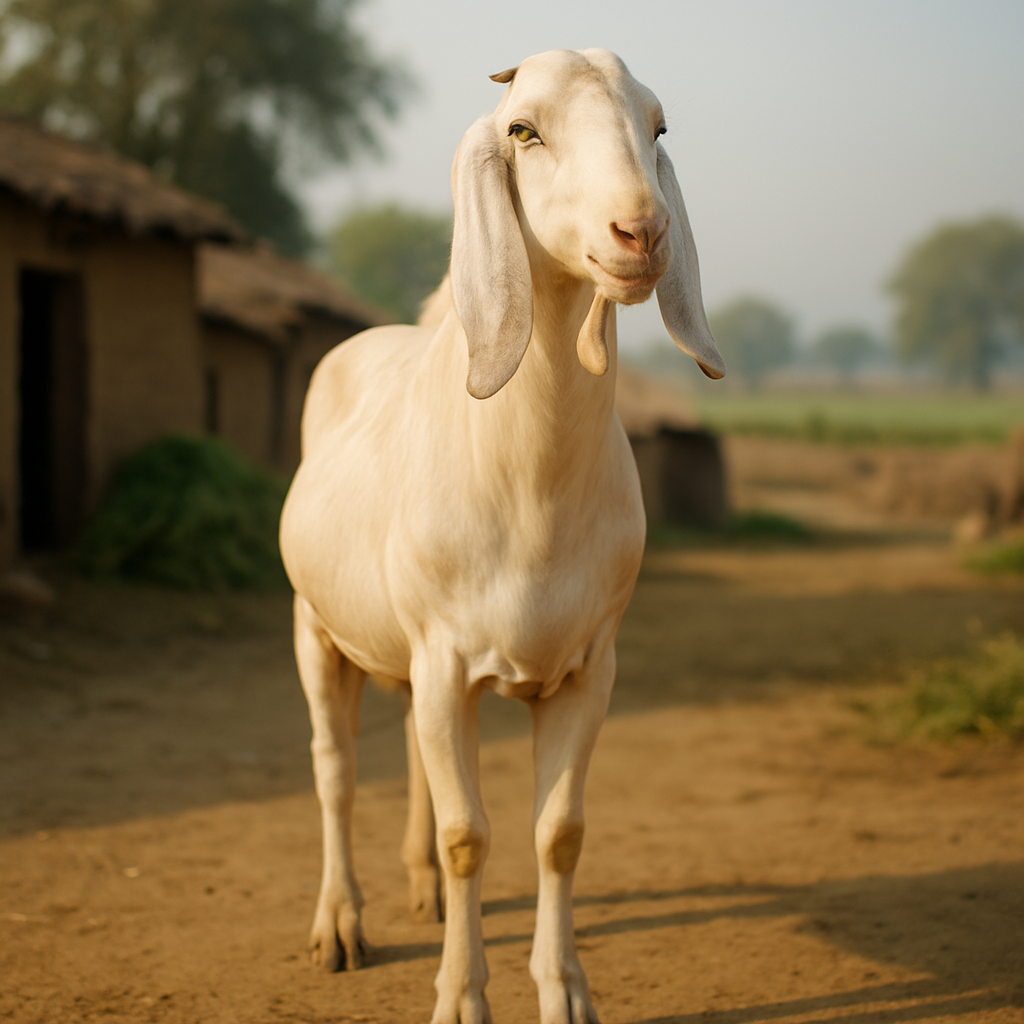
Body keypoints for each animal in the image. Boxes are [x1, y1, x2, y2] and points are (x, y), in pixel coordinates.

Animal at [279, 48, 724, 1024]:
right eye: (523, 130)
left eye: (657, 126)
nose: (641, 232)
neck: (532, 497)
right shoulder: (444, 656)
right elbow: (466, 836)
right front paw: (459, 997)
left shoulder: (589, 665)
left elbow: (558, 833)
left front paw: (565, 992)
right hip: (315, 626)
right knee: (334, 771)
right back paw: (339, 925)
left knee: (411, 755)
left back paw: (421, 895)